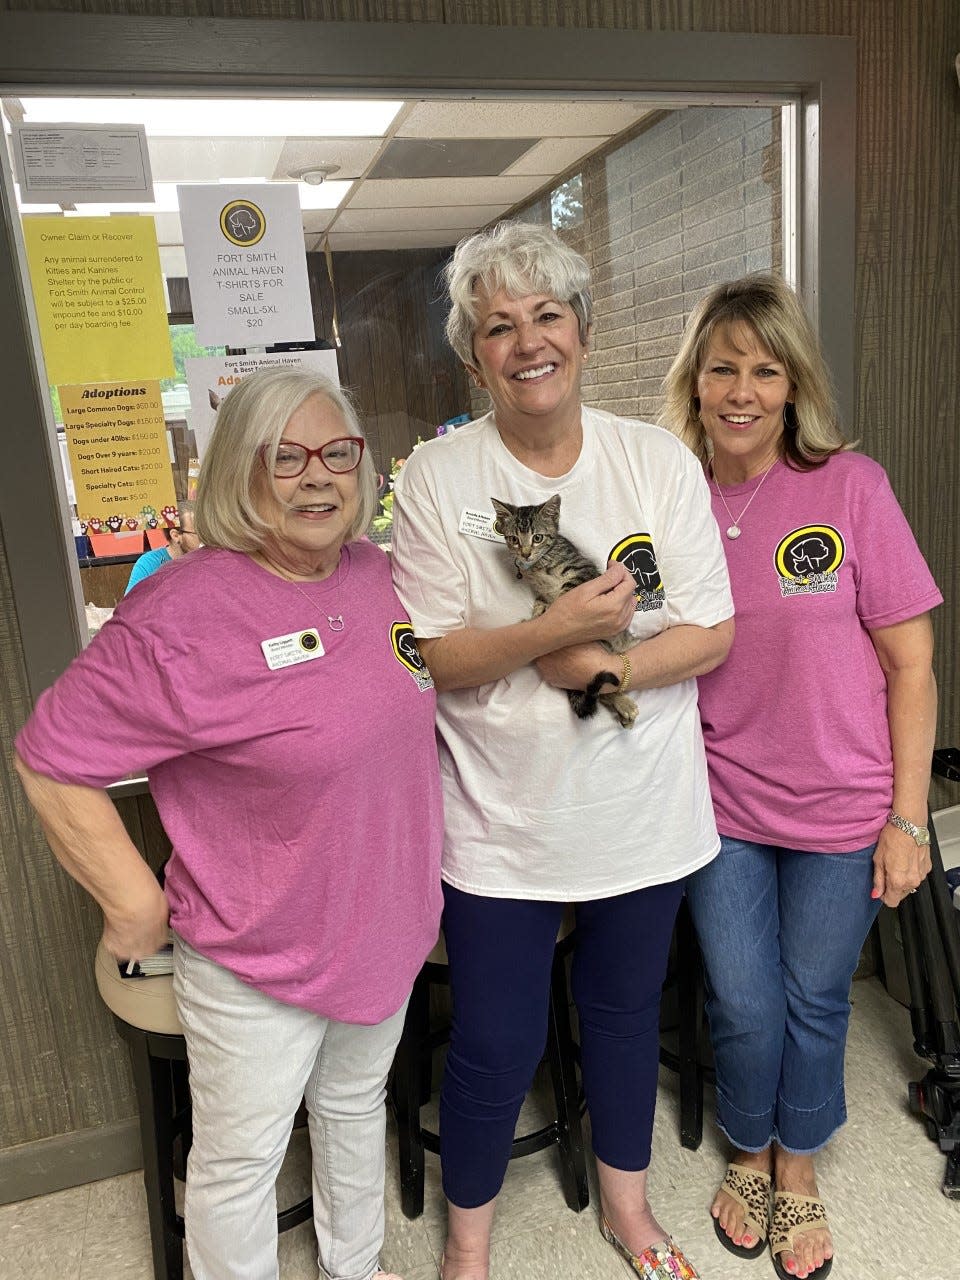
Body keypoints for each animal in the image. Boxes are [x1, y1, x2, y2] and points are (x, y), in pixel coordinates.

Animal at [496, 491, 640, 732]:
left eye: (537, 538)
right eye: (514, 539)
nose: (525, 554)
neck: (540, 565)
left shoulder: (581, 570)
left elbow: (565, 594)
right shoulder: (541, 592)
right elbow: (541, 603)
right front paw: (535, 617)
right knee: (600, 692)